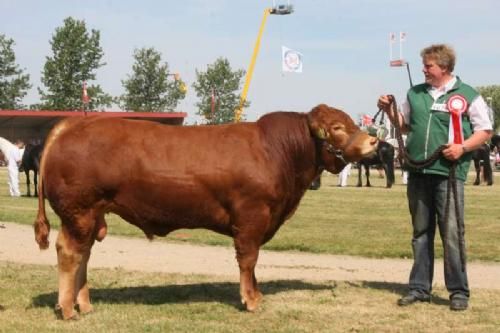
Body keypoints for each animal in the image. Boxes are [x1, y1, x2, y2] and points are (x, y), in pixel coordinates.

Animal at [34, 104, 378, 320]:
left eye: (352, 122)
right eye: (336, 127)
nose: (374, 140)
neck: (277, 151)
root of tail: (74, 122)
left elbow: (252, 264)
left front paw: (256, 295)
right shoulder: (252, 217)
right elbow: (248, 259)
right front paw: (250, 300)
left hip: (91, 216)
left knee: (84, 255)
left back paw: (84, 305)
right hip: (79, 211)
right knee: (69, 253)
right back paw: (67, 309)